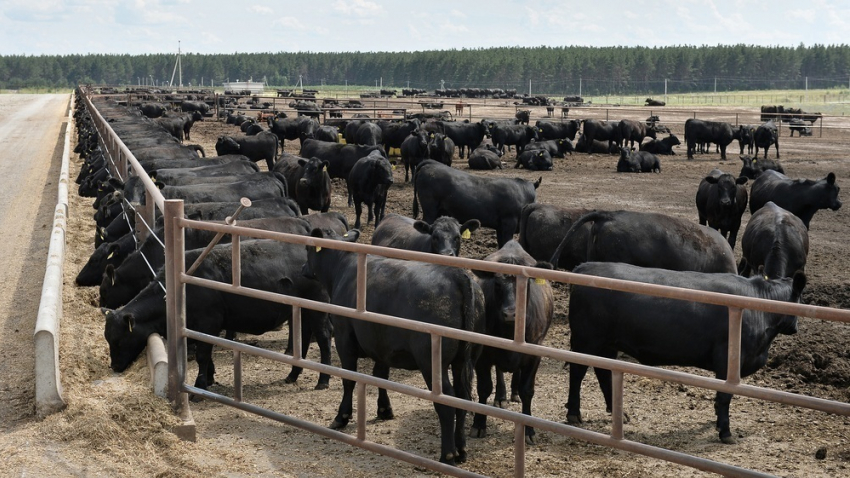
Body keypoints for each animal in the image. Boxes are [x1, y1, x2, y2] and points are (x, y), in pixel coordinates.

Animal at [102, 239, 332, 392]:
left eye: (119, 341)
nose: (114, 366)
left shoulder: (208, 323)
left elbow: (203, 355)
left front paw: (200, 386)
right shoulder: (198, 328)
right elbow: (206, 355)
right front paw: (210, 378)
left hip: (318, 309)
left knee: (323, 338)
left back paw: (323, 380)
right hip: (301, 311)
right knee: (303, 338)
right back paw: (293, 375)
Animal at [302, 230, 484, 464]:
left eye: (308, 247)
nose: (303, 268)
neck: (343, 267)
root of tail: (459, 276)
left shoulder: (344, 337)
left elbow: (349, 379)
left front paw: (341, 417)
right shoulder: (381, 344)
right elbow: (381, 376)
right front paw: (384, 409)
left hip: (431, 361)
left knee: (446, 403)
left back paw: (447, 454)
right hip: (466, 358)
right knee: (463, 399)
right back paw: (461, 450)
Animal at [468, 241, 552, 446]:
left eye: (526, 284)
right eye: (497, 284)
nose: (510, 313)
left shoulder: (534, 355)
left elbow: (527, 391)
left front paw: (528, 429)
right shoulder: (484, 355)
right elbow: (484, 387)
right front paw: (479, 424)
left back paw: (513, 392)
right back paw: (501, 396)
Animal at [568, 262, 804, 444]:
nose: (795, 329)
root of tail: (586, 266)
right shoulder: (728, 361)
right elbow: (725, 395)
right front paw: (725, 432)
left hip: (607, 344)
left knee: (604, 372)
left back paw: (619, 413)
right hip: (586, 340)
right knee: (577, 372)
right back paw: (573, 414)